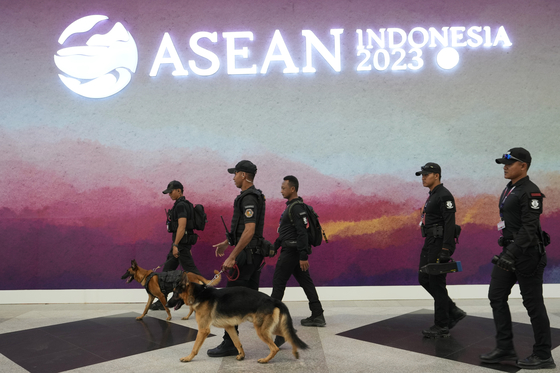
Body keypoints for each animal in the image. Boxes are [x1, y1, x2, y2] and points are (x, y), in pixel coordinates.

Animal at [166, 280, 308, 364]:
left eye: (175, 293)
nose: (166, 305)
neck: (199, 294)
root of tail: (273, 300)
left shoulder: (203, 330)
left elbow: (195, 347)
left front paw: (188, 358)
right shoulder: (229, 327)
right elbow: (237, 342)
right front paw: (242, 355)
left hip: (262, 330)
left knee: (275, 347)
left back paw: (265, 360)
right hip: (269, 329)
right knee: (289, 335)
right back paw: (295, 352)